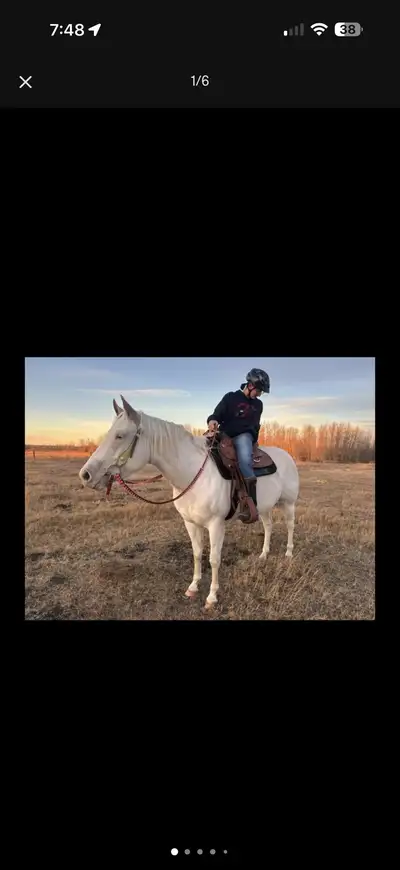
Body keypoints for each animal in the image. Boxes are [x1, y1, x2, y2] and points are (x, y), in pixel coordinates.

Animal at [78, 395, 300, 610]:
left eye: (120, 435)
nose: (85, 475)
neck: (192, 473)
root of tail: (288, 456)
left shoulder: (216, 525)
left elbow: (214, 559)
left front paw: (211, 597)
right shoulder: (191, 523)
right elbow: (197, 553)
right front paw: (193, 587)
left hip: (288, 503)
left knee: (290, 525)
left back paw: (289, 553)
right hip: (264, 507)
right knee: (268, 526)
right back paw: (264, 554)